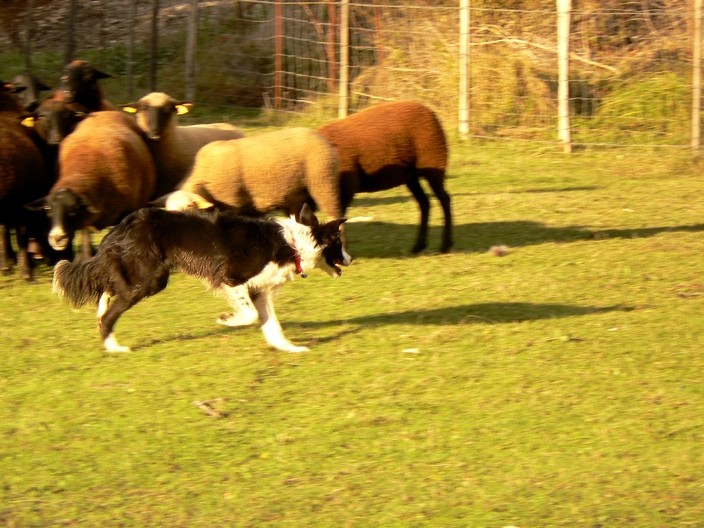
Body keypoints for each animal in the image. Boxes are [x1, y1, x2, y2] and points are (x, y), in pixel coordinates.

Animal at [318, 102, 454, 255]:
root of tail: (429, 111)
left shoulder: (345, 189)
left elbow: (336, 218)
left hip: (434, 165)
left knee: (444, 199)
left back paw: (445, 245)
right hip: (411, 176)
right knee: (424, 202)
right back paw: (418, 246)